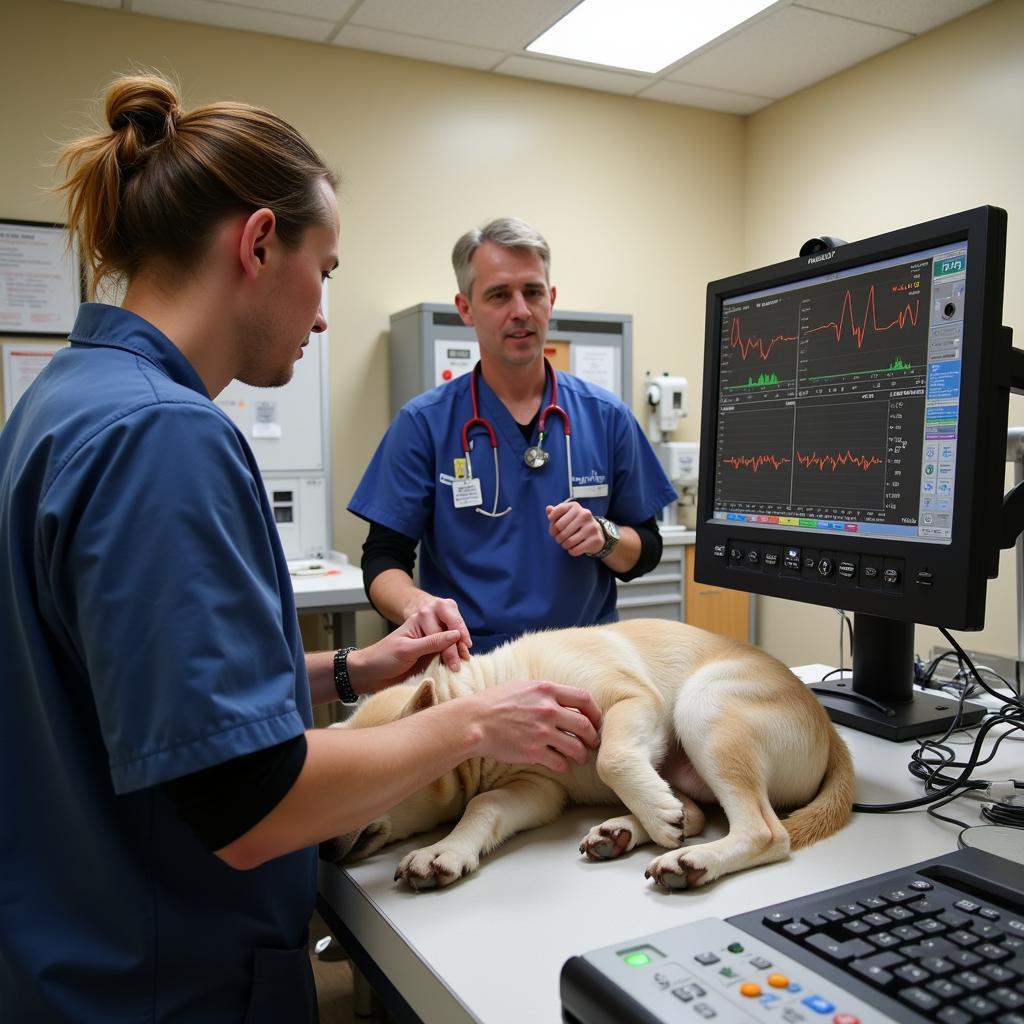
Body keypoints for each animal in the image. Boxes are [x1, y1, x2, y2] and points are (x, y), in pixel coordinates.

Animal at [323, 618, 851, 892]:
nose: (322, 855)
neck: (486, 694)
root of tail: (831, 731)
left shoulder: (632, 701)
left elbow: (609, 758)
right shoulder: (537, 789)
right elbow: (483, 805)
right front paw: (445, 850)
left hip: (704, 709)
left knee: (764, 832)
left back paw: (686, 856)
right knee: (696, 814)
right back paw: (622, 831)